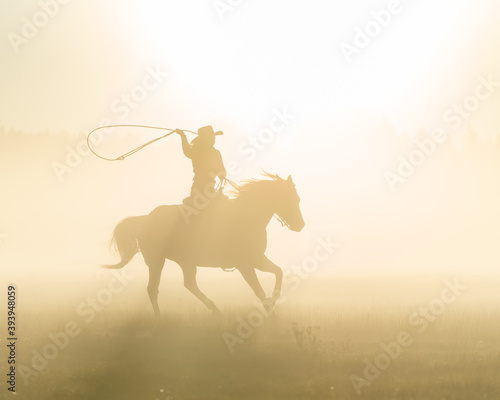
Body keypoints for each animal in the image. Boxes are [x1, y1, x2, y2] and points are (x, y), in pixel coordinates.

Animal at [103, 173, 302, 318]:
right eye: (289, 198)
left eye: (297, 199)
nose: (301, 225)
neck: (247, 217)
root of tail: (145, 220)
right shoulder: (244, 265)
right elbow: (258, 290)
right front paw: (270, 312)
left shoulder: (257, 259)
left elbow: (278, 272)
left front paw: (273, 302)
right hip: (156, 262)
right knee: (153, 289)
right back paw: (160, 318)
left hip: (186, 263)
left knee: (189, 284)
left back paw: (215, 310)